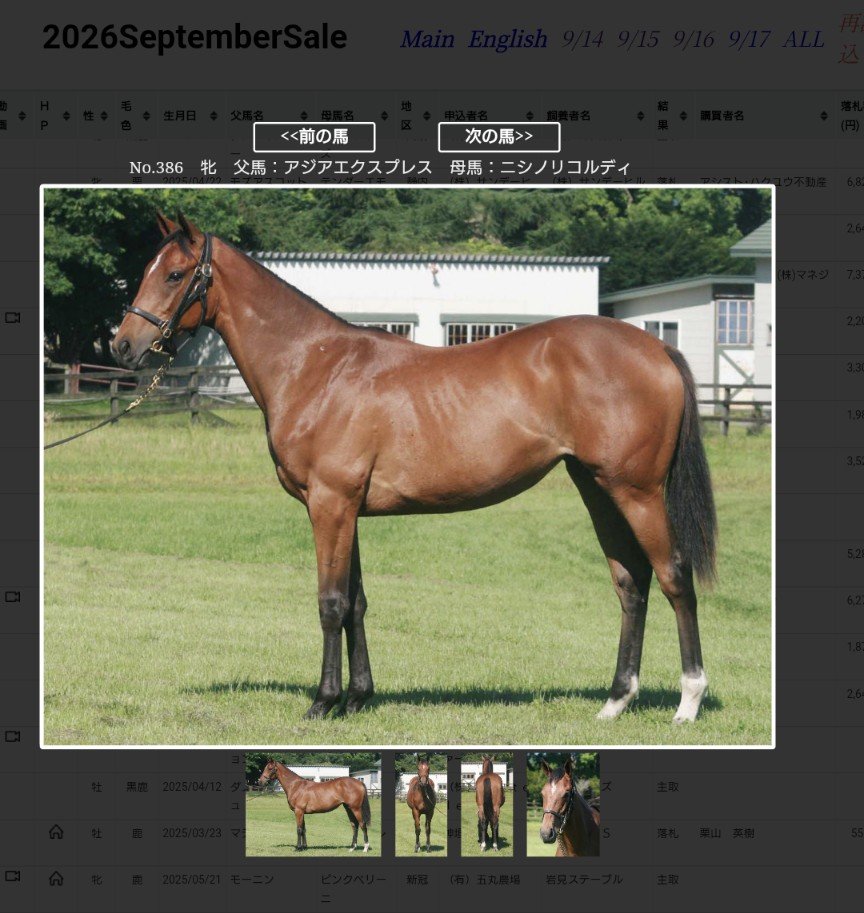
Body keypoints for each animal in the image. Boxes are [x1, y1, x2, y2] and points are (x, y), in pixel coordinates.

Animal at [112, 212, 717, 725]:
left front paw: (323, 702)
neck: (315, 366)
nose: (122, 345)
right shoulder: (345, 508)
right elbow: (356, 603)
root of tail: (656, 350)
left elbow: (331, 603)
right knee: (630, 583)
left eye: (174, 274)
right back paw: (616, 701)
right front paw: (358, 698)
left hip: (637, 491)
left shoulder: (330, 504)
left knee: (673, 576)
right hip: (596, 488)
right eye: (145, 272)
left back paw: (687, 702)